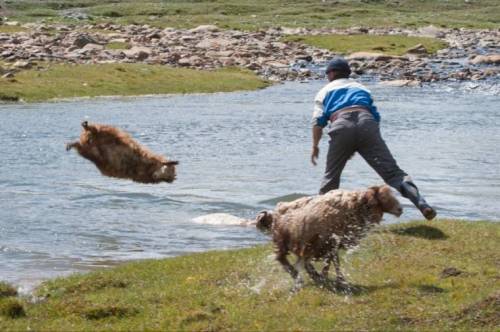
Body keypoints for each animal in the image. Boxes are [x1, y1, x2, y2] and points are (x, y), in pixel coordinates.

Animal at [256, 185, 404, 290]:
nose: (400, 209)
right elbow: (333, 260)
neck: (354, 204)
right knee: (282, 259)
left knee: (303, 261)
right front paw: (332, 279)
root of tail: (273, 213)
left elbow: (332, 260)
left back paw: (311, 275)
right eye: (384, 197)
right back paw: (298, 277)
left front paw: (329, 278)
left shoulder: (331, 242)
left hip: (302, 243)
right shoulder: (329, 239)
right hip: (282, 241)